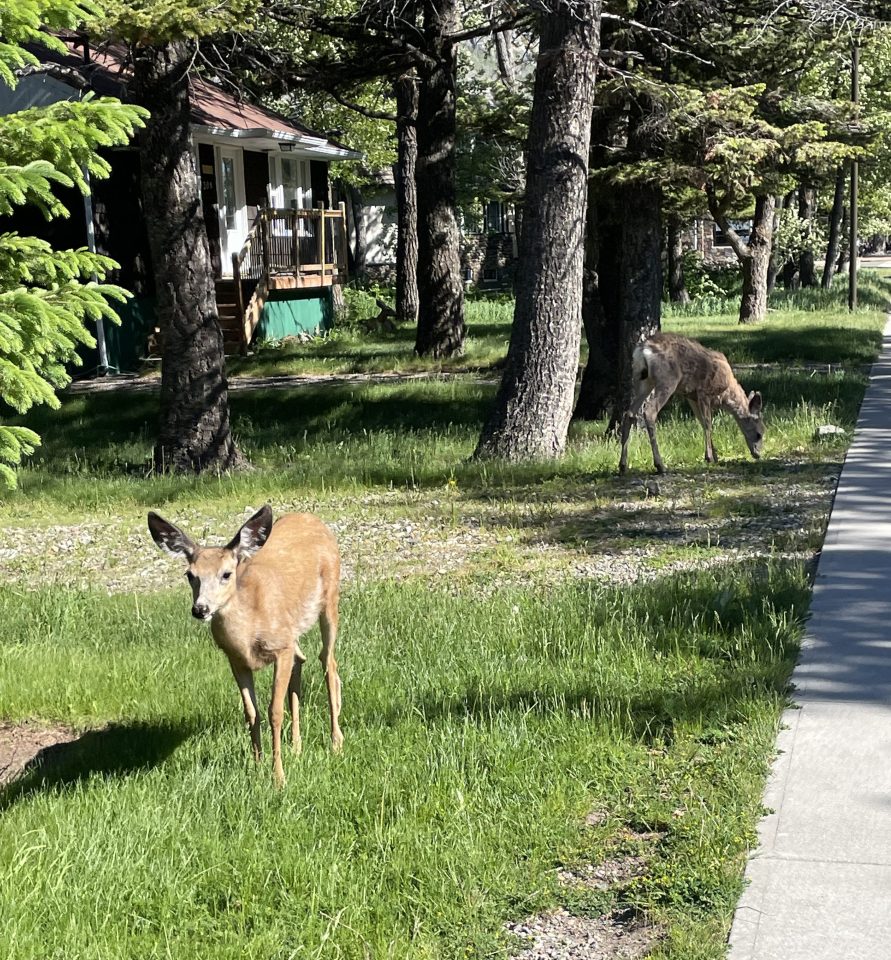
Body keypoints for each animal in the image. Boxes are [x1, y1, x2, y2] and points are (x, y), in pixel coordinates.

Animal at [147, 505, 342, 786]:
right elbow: (251, 713)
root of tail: (312, 518)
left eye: (226, 574)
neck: (249, 629)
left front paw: (278, 777)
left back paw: (336, 742)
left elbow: (274, 711)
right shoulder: (236, 660)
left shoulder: (280, 648)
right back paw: (296, 747)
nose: (200, 609)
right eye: (190, 575)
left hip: (330, 598)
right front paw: (258, 765)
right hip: (293, 630)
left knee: (328, 662)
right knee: (302, 659)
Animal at [618, 332, 765, 475]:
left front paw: (715, 455)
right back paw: (660, 465)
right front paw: (709, 457)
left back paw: (623, 466)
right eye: (759, 434)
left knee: (629, 413)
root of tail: (643, 349)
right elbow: (708, 424)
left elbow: (702, 422)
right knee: (649, 411)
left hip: (642, 380)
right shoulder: (704, 392)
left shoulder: (691, 397)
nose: (758, 454)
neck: (726, 392)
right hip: (667, 380)